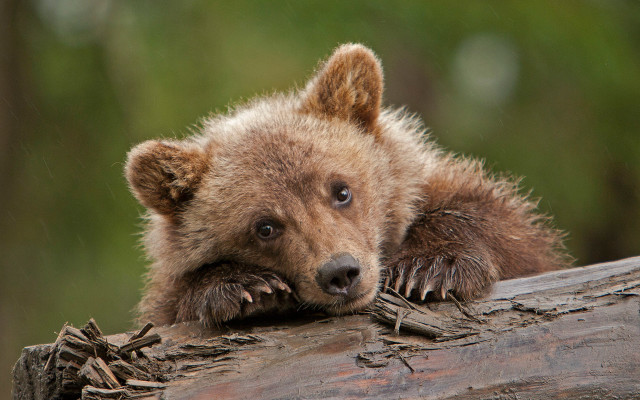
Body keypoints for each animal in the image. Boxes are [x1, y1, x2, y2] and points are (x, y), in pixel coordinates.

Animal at [125, 44, 568, 328]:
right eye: (264, 226)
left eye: (341, 190)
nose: (340, 273)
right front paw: (245, 287)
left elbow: (497, 225)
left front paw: (430, 269)